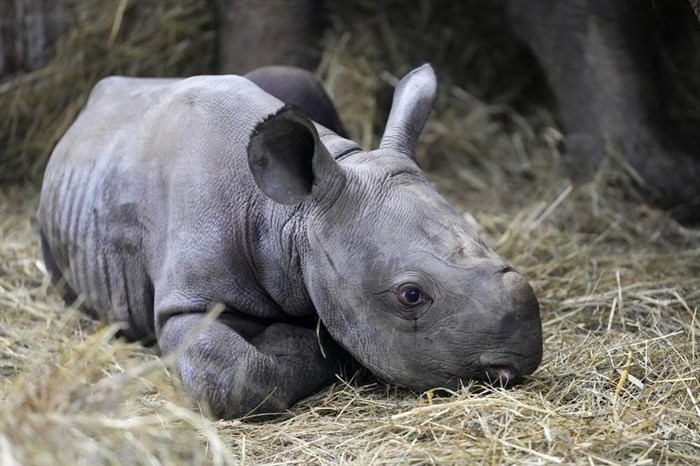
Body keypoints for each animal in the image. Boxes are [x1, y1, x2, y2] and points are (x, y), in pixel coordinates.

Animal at [38, 63, 544, 416]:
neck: (288, 215)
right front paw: (307, 343)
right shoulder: (186, 302)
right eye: (411, 295)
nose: (523, 357)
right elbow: (236, 374)